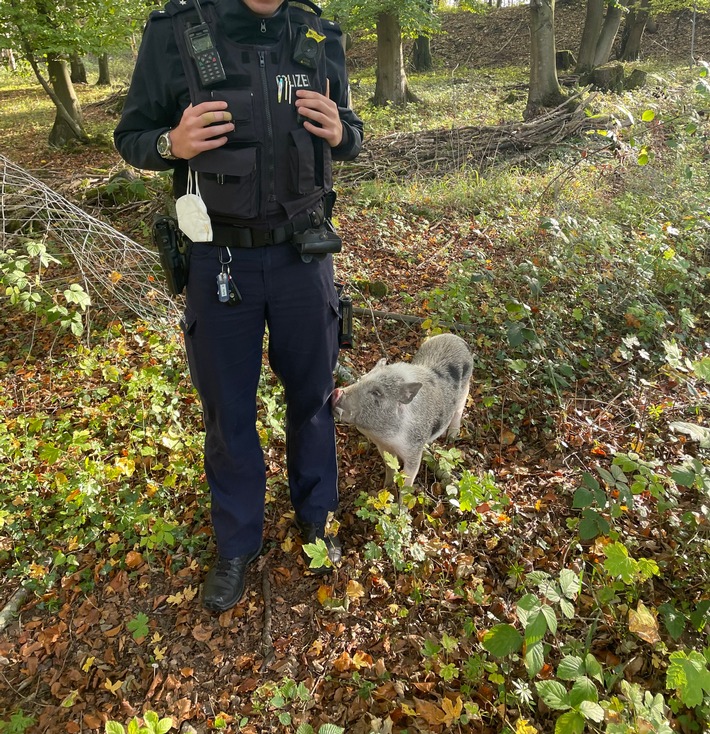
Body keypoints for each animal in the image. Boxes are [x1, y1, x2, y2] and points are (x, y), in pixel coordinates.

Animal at [332, 334, 476, 488]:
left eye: (377, 392)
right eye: (361, 379)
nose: (336, 392)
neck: (385, 436)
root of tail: (457, 338)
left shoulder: (414, 451)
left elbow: (408, 481)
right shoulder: (383, 447)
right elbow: (390, 467)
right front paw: (386, 488)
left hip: (465, 390)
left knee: (458, 411)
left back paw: (451, 437)